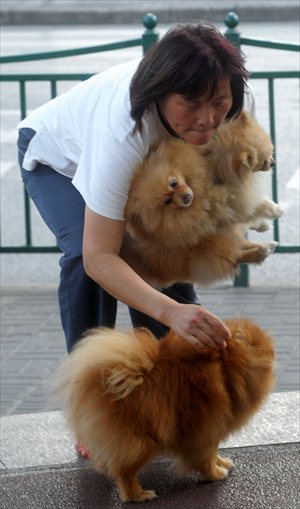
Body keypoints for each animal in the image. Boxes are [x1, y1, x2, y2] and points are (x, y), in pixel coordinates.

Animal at [55, 320, 276, 502]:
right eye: (262, 349)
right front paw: (215, 474)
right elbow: (206, 458)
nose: (274, 356)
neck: (224, 369)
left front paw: (223, 462)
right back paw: (139, 495)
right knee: (124, 472)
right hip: (142, 442)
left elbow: (213, 453)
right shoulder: (207, 428)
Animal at [120, 113, 284, 288]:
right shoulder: (231, 202)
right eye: (262, 161)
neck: (213, 166)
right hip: (201, 248)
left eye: (174, 182)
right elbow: (256, 207)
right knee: (233, 256)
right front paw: (276, 211)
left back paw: (267, 244)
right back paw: (262, 251)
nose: (273, 162)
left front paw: (262, 223)